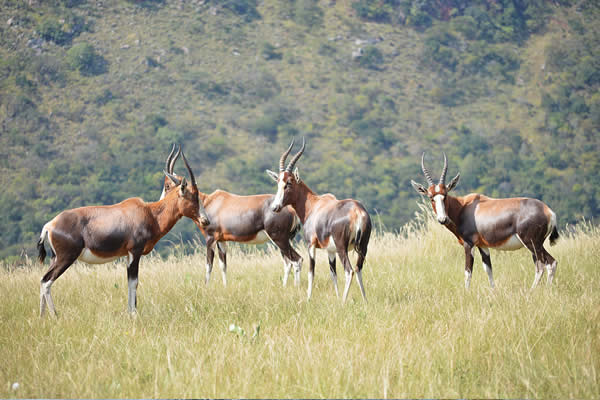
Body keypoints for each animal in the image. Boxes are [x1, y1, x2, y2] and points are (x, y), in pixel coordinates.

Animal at [37, 150, 211, 316]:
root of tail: (49, 225)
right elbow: (134, 282)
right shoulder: (135, 252)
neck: (150, 213)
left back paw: (42, 317)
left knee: (43, 280)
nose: (206, 220)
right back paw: (55, 316)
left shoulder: (128, 255)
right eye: (194, 195)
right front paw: (133, 314)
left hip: (55, 258)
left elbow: (130, 282)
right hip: (66, 258)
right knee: (46, 281)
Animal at [159, 145, 302, 286]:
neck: (208, 202)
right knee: (288, 262)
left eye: (167, 186)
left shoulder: (210, 239)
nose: (161, 203)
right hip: (285, 240)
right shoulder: (221, 241)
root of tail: (290, 209)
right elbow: (223, 266)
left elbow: (208, 266)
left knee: (296, 260)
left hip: (279, 239)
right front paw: (225, 287)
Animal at [268, 139, 370, 302]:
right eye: (278, 182)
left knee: (349, 271)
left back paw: (343, 302)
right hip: (363, 247)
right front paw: (336, 297)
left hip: (342, 248)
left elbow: (311, 272)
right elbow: (333, 274)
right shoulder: (330, 250)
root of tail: (357, 212)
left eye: (289, 182)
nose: (275, 207)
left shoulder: (311, 245)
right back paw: (365, 301)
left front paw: (308, 298)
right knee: (358, 269)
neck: (314, 205)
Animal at [410, 152, 560, 288]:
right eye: (431, 197)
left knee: (542, 265)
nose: (443, 219)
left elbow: (468, 272)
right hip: (537, 244)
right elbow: (488, 270)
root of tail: (549, 211)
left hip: (531, 243)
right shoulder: (483, 246)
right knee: (550, 263)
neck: (464, 207)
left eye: (445, 195)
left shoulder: (469, 244)